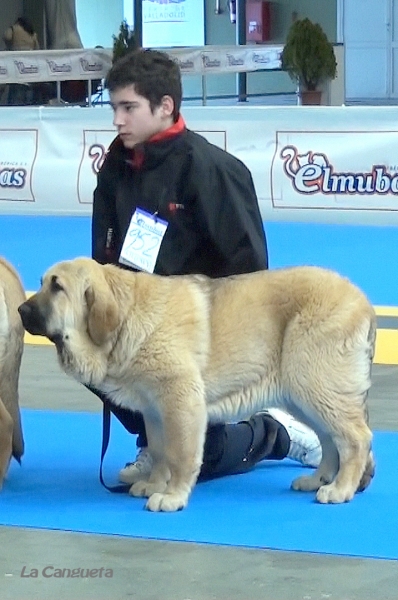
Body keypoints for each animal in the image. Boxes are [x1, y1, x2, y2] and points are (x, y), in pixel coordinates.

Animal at [18, 256, 378, 510]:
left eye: (57, 287)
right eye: (42, 283)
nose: (20, 309)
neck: (127, 317)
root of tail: (363, 301)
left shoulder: (181, 401)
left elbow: (181, 453)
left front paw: (173, 496)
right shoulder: (154, 410)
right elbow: (160, 450)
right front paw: (154, 484)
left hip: (315, 383)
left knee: (355, 439)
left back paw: (340, 488)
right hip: (303, 393)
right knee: (330, 439)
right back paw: (318, 479)